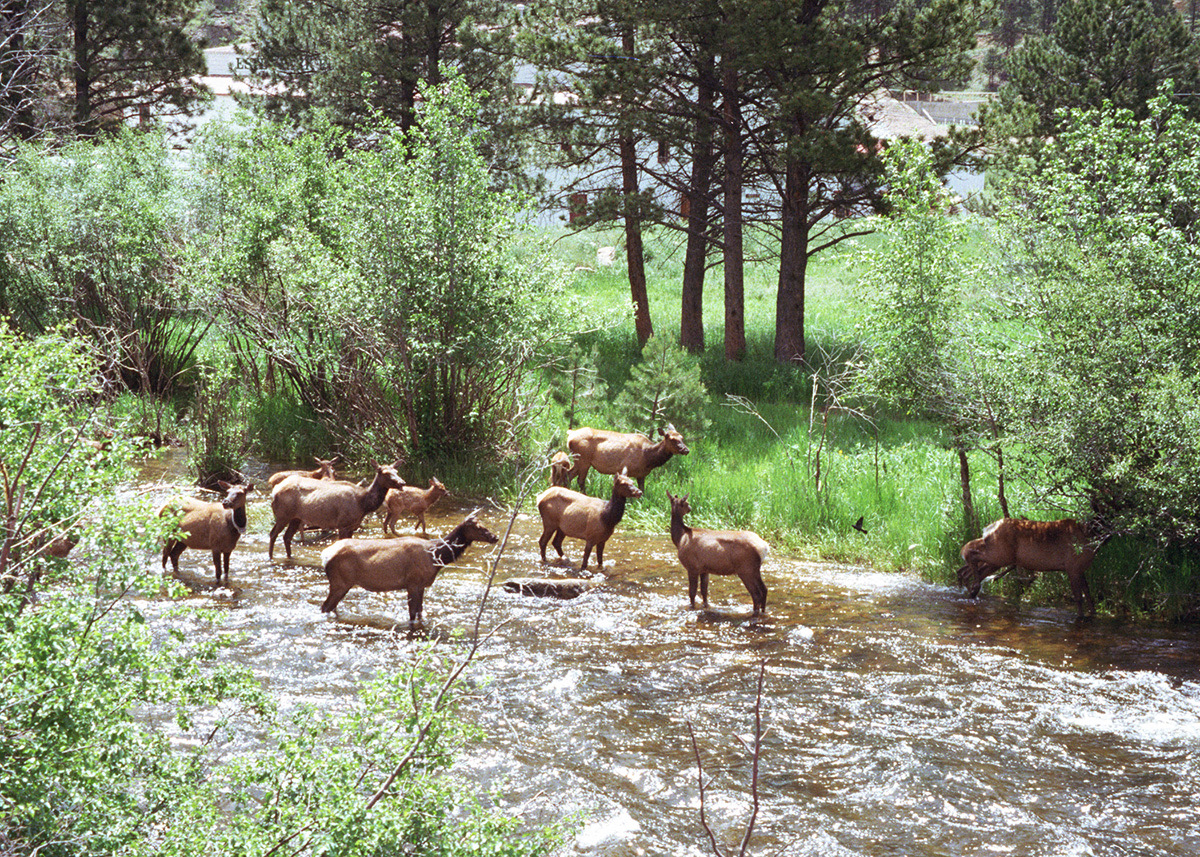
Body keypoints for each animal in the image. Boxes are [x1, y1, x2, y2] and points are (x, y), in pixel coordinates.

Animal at [319, 506, 496, 619]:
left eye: (484, 524)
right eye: (477, 527)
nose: (495, 537)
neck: (436, 557)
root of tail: (325, 556)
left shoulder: (422, 585)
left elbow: (420, 612)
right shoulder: (413, 583)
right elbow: (412, 614)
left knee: (331, 607)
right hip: (340, 582)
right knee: (325, 606)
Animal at [955, 513, 1099, 614]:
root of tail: (988, 528)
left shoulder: (1080, 569)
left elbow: (1088, 595)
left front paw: (1093, 614)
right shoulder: (1072, 567)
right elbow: (1079, 598)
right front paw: (1081, 618)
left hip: (998, 558)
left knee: (971, 568)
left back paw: (969, 588)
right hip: (999, 554)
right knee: (969, 550)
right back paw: (973, 587)